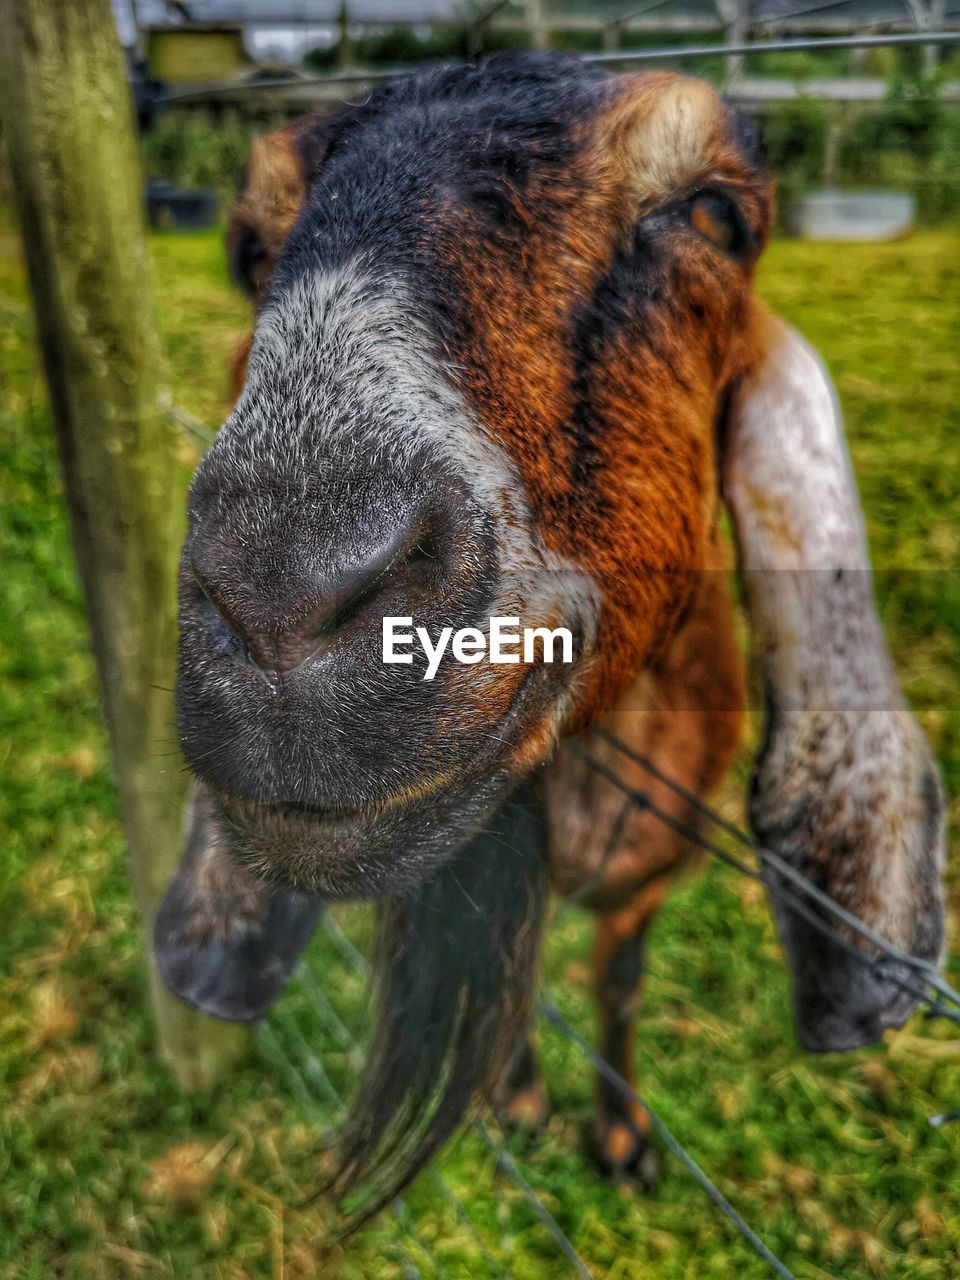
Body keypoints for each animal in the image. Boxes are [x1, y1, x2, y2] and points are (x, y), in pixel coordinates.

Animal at [154, 57, 952, 1218]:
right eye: (251, 250)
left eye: (716, 216)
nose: (281, 588)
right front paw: (524, 1103)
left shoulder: (652, 872)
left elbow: (616, 978)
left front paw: (619, 1138)